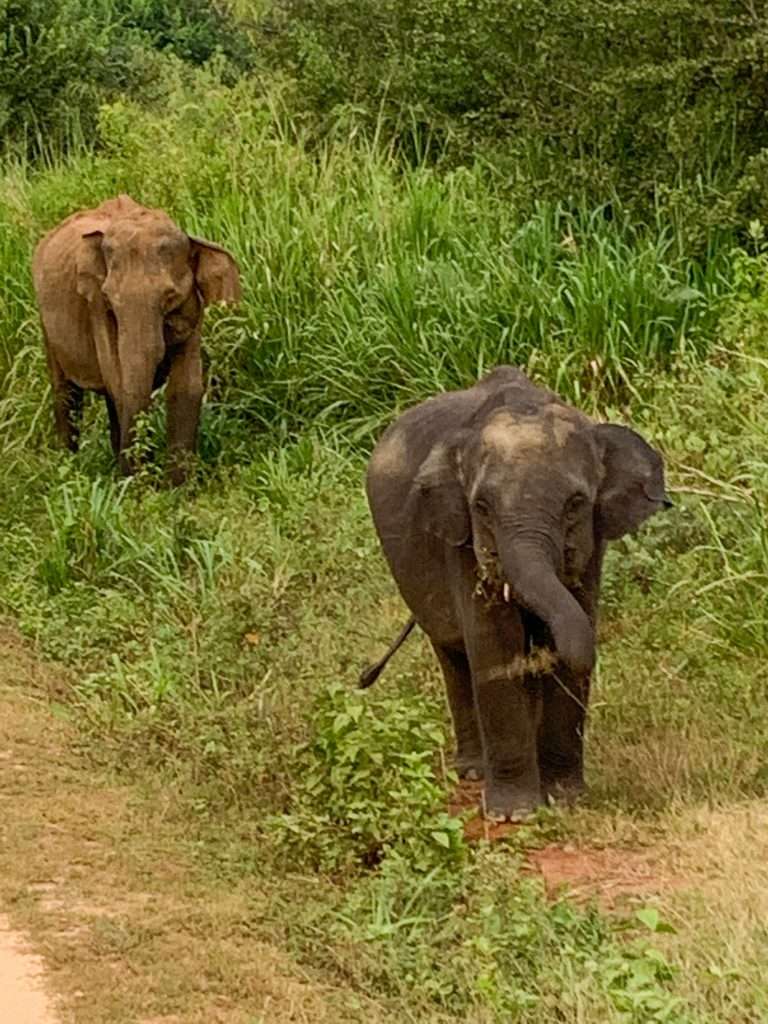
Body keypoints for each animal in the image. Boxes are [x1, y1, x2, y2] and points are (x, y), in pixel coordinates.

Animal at [32, 194, 241, 484]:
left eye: (169, 296)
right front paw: (137, 486)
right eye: (110, 300)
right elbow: (118, 378)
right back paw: (69, 467)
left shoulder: (193, 309)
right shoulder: (97, 307)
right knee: (67, 392)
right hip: (46, 324)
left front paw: (177, 488)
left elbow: (185, 388)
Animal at [362, 367, 670, 821]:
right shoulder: (460, 539)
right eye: (482, 507)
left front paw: (565, 798)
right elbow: (495, 646)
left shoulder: (593, 543)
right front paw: (514, 814)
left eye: (576, 503)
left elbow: (574, 620)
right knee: (453, 655)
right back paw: (473, 771)